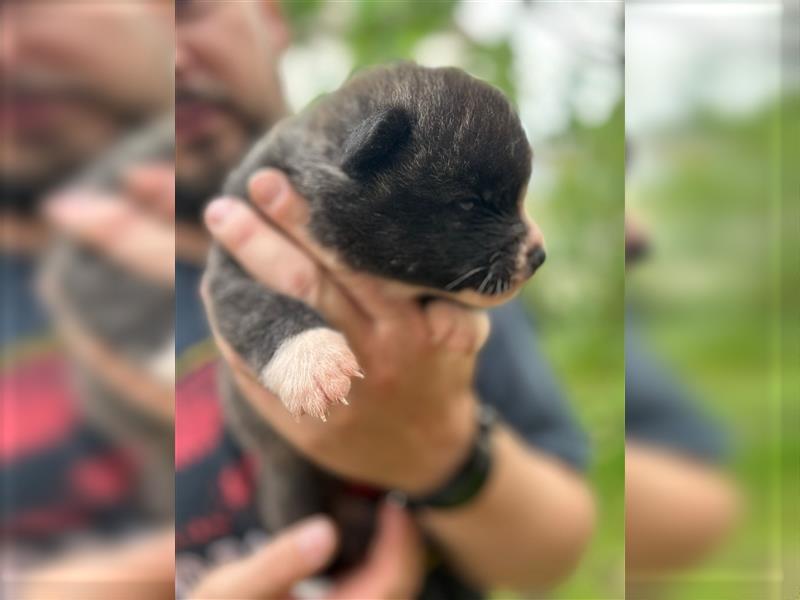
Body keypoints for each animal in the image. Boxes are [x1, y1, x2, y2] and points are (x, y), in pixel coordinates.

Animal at [206, 63, 544, 576]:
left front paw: (457, 321)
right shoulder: (229, 267)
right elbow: (262, 308)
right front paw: (311, 359)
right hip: (291, 490)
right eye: (469, 204)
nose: (540, 255)